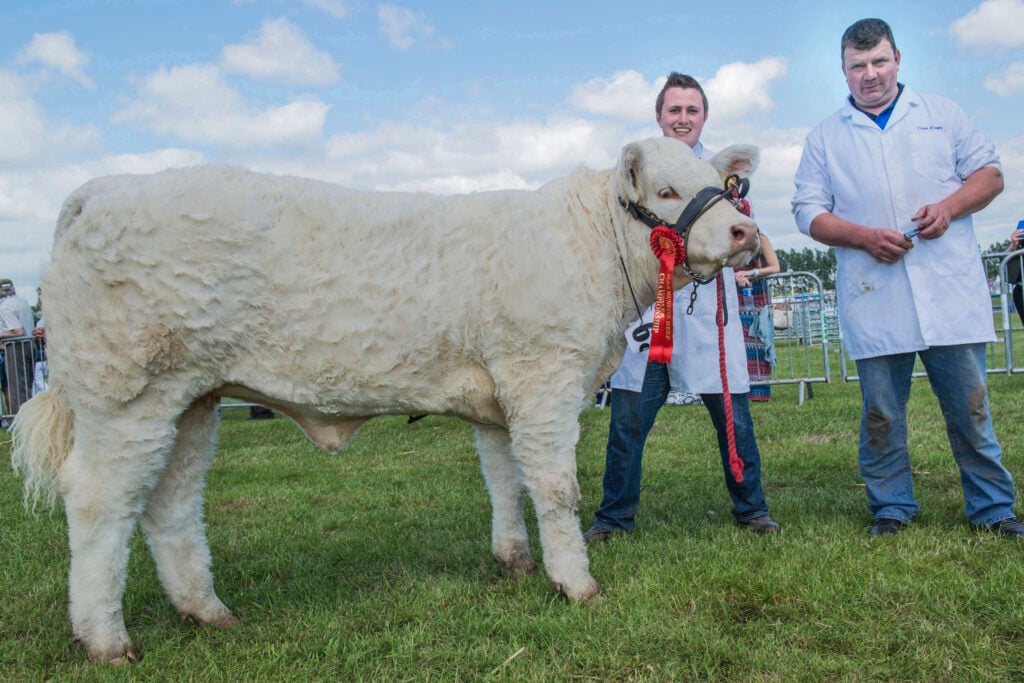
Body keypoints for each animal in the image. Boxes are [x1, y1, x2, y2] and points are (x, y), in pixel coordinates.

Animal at [12, 136, 760, 663]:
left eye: (722, 185)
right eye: (666, 189)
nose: (744, 234)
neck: (590, 247)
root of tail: (103, 189)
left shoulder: (500, 397)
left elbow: (504, 481)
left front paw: (514, 562)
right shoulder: (543, 376)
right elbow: (554, 487)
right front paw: (575, 583)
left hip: (190, 399)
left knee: (170, 502)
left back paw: (207, 611)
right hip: (125, 395)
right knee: (99, 501)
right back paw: (105, 638)